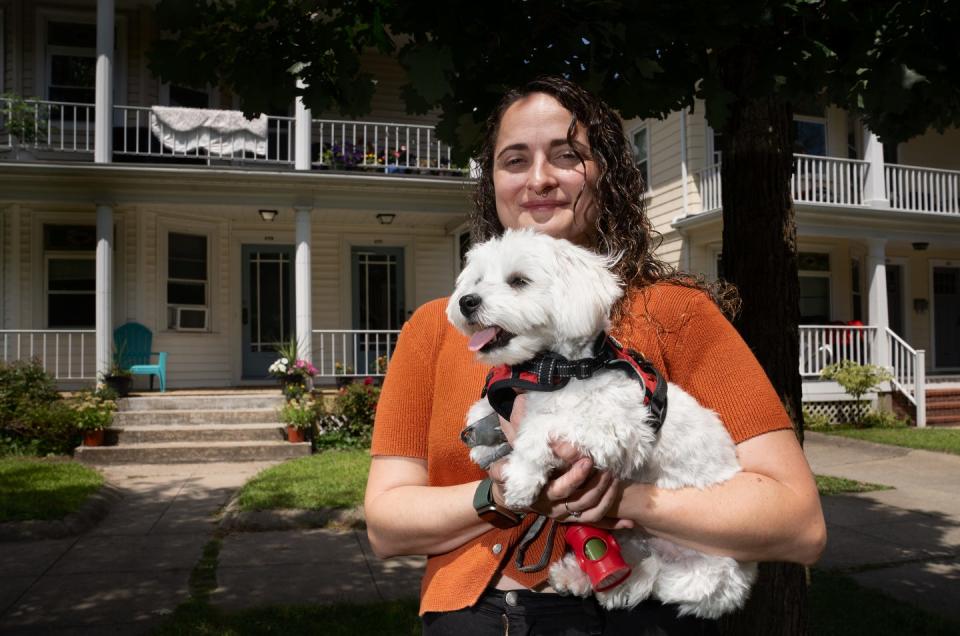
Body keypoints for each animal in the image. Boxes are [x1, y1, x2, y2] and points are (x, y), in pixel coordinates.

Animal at [448, 229, 756, 616]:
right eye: (476, 280)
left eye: (519, 281)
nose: (467, 302)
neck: (558, 368)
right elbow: (490, 412)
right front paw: (484, 437)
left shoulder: (613, 427)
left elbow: (541, 427)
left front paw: (521, 475)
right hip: (636, 541)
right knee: (631, 572)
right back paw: (577, 576)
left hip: (701, 570)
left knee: (645, 579)